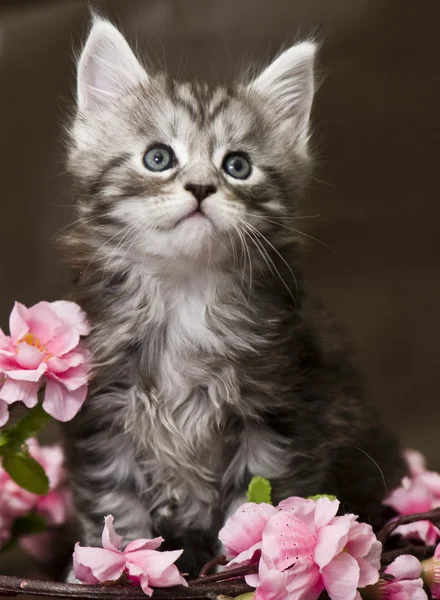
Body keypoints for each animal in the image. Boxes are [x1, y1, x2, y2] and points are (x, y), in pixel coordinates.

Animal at [62, 18, 406, 576]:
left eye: (237, 166)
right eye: (158, 158)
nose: (202, 187)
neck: (185, 294)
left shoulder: (278, 414)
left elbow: (258, 505)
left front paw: (247, 567)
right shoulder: (103, 417)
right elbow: (117, 505)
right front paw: (114, 566)